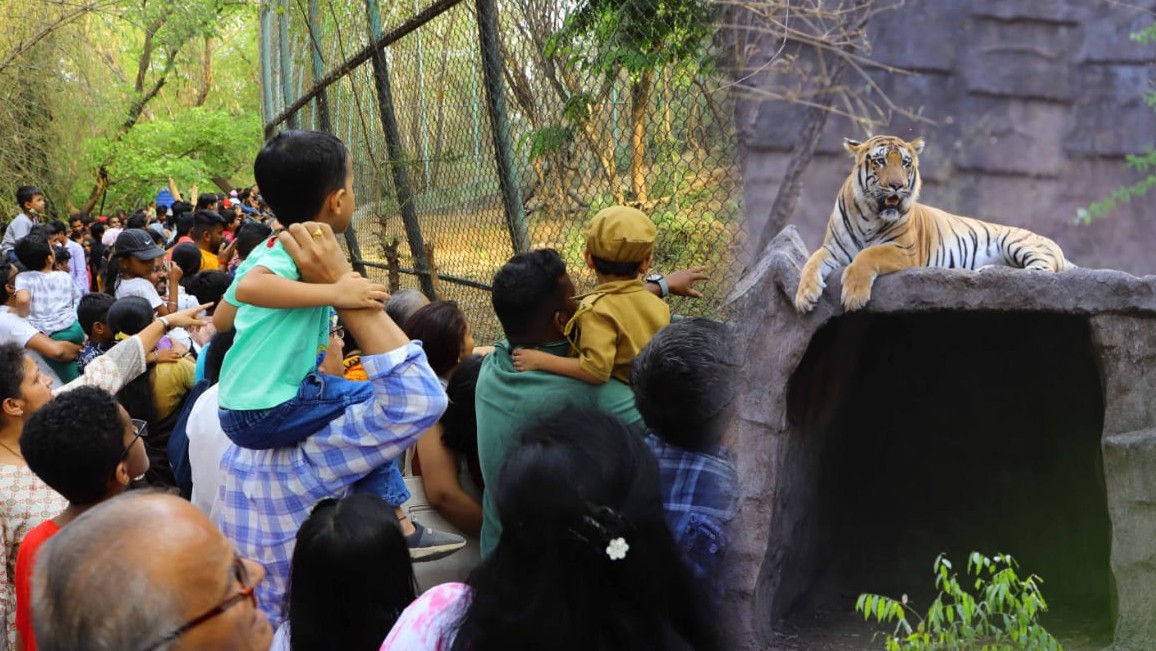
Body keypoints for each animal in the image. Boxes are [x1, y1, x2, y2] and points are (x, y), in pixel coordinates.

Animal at [795, 135, 1072, 312]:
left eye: (905, 163)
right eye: (880, 161)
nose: (897, 185)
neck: (869, 215)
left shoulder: (905, 251)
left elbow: (868, 255)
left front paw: (853, 295)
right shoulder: (832, 249)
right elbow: (811, 263)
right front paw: (804, 296)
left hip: (1016, 242)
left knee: (1041, 273)